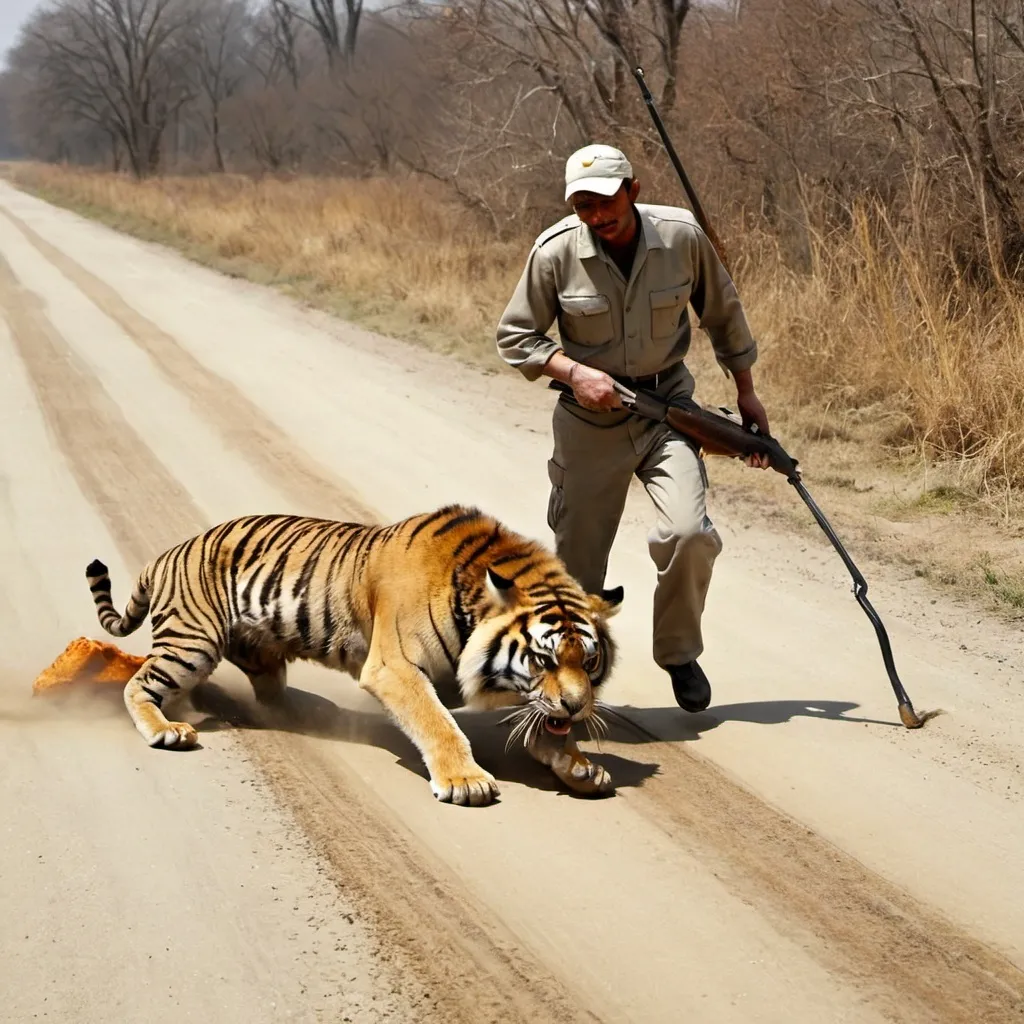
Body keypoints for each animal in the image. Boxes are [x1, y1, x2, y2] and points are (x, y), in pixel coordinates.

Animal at [83, 503, 622, 806]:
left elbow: (542, 724)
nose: (578, 707)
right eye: (542, 659)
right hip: (192, 641)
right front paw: (465, 781)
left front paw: (577, 765)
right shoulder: (394, 667)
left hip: (256, 653)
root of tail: (166, 554)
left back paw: (297, 714)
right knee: (139, 683)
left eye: (587, 661)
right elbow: (437, 723)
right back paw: (167, 730)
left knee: (260, 691)